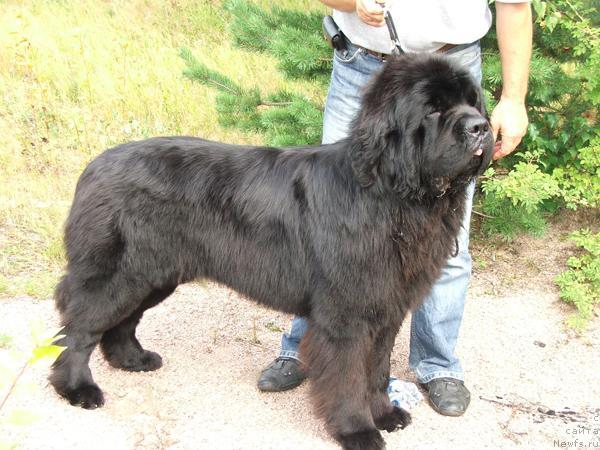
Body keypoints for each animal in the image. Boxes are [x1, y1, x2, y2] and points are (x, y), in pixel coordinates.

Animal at [50, 55, 492, 450]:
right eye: (434, 109)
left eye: (473, 102)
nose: (481, 127)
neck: (392, 194)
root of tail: (94, 166)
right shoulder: (346, 314)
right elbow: (349, 375)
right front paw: (358, 431)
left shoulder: (387, 307)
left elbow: (377, 369)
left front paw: (384, 414)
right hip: (119, 272)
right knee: (80, 327)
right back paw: (77, 388)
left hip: (152, 274)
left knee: (121, 321)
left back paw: (132, 360)